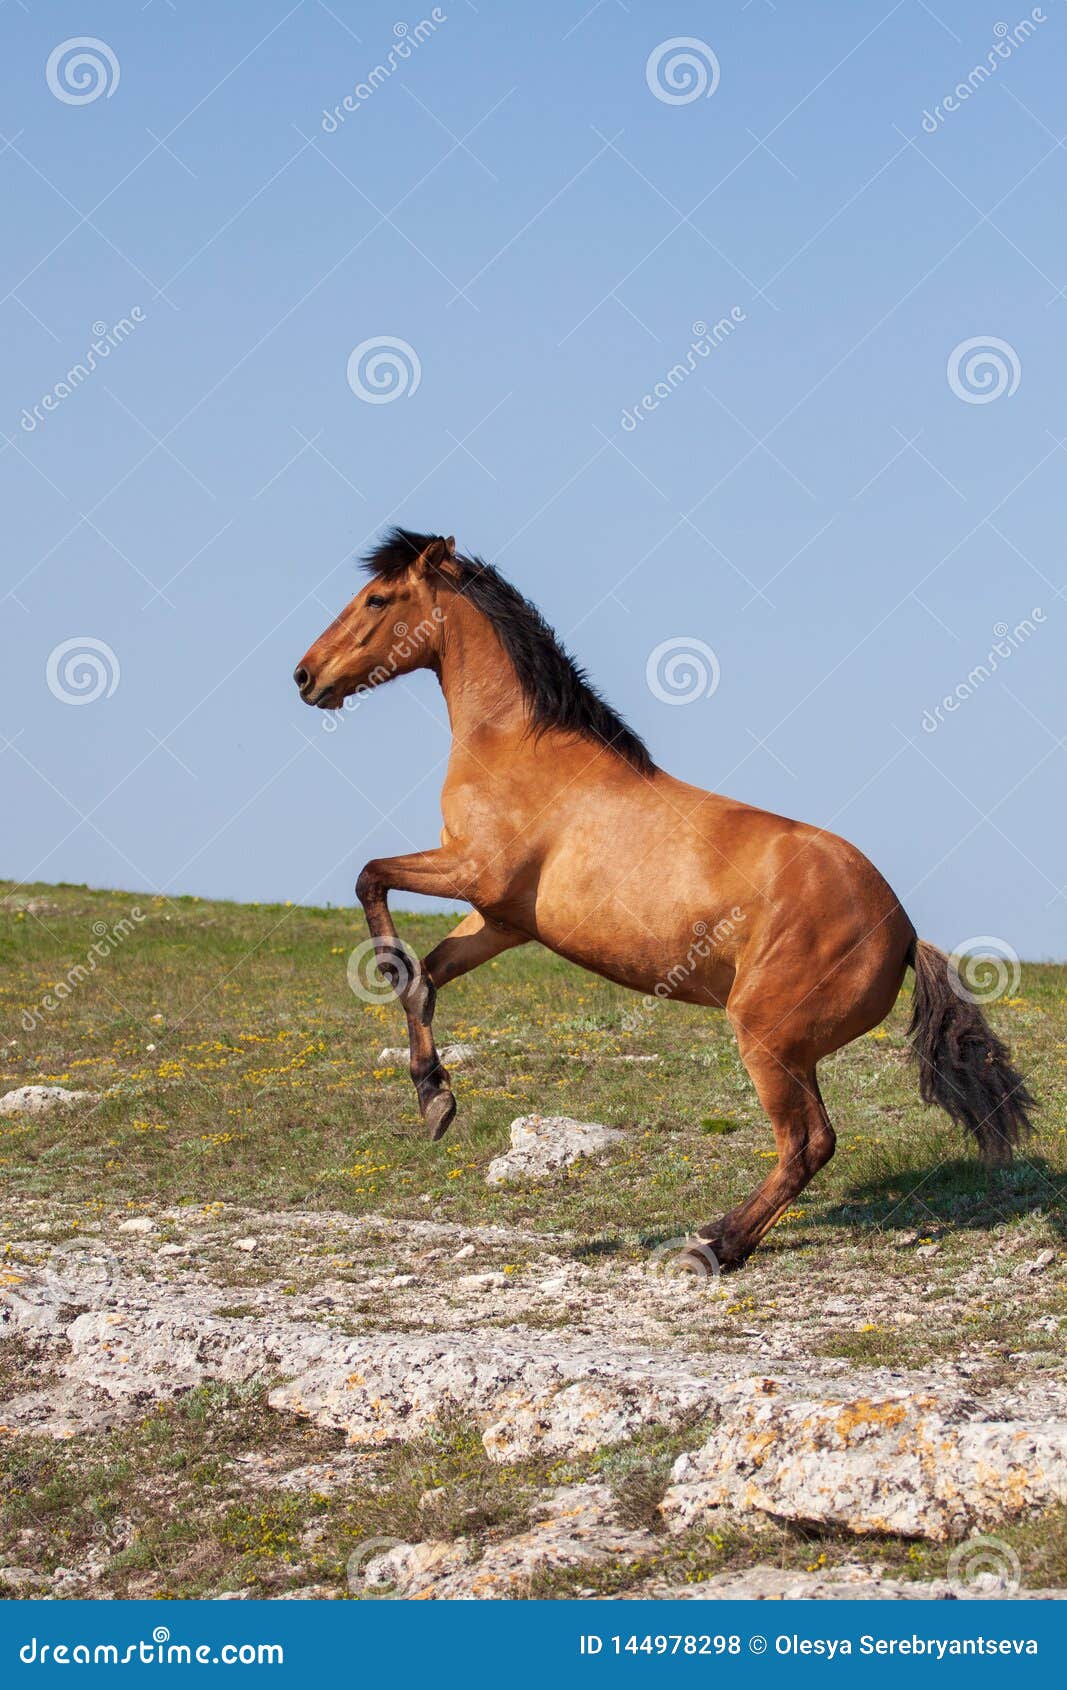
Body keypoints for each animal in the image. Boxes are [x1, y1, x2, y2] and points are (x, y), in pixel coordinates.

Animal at [294, 527, 1034, 1270]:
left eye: (377, 598)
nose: (305, 676)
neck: (517, 749)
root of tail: (903, 931)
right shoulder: (503, 920)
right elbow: (424, 979)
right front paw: (434, 1096)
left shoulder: (472, 873)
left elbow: (370, 880)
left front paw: (420, 1061)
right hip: (788, 1049)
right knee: (810, 1144)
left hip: (768, 1040)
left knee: (808, 1143)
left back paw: (715, 1244)